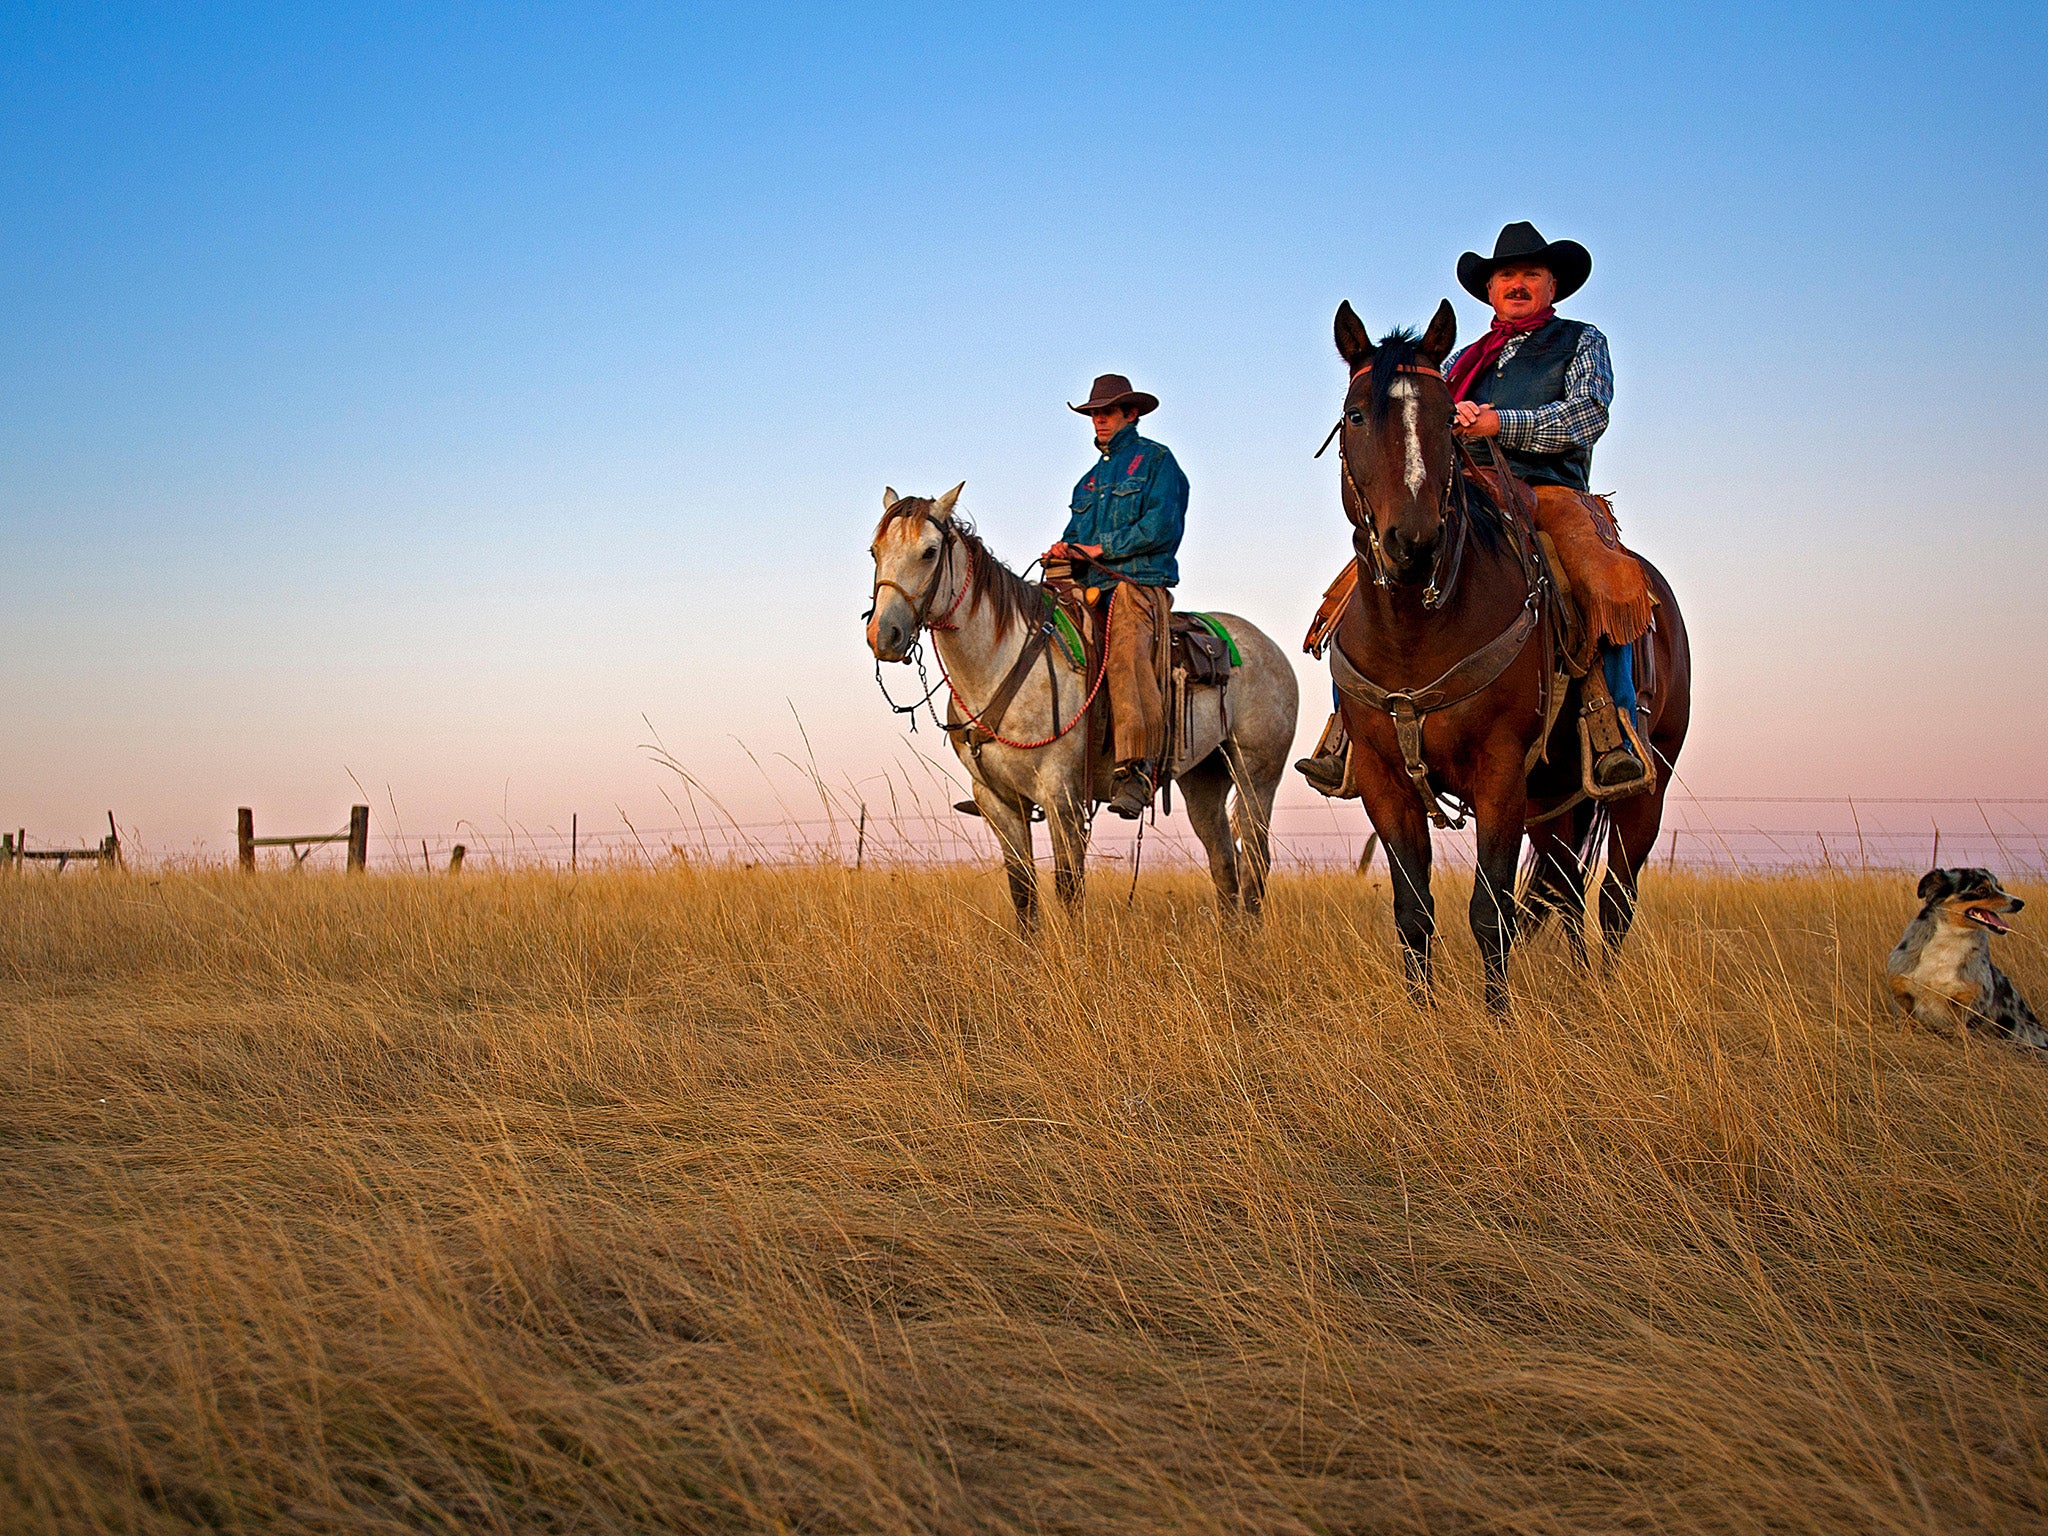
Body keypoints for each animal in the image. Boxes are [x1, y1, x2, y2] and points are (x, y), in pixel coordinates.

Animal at [864, 487, 1294, 933]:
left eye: (929, 551)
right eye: (875, 550)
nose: (883, 635)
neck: (1002, 664)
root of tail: (1270, 648)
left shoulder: (1061, 795)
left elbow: (1069, 886)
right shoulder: (997, 800)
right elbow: (1022, 890)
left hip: (1256, 775)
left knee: (1255, 857)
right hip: (1203, 779)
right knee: (1224, 860)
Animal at [1327, 303, 1695, 1015]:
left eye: (1448, 416)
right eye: (1356, 415)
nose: (1413, 542)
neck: (1415, 626)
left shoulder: (1500, 773)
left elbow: (1489, 910)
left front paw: (1497, 1022)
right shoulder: (1386, 781)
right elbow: (1414, 911)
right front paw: (1422, 1020)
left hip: (1645, 788)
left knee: (1614, 900)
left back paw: (1600, 999)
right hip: (1555, 799)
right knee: (1569, 891)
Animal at [1892, 872, 2039, 1056]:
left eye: (2000, 888)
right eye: (1982, 890)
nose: (2019, 903)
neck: (1949, 943)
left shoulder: (1969, 1007)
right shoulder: (1903, 998)